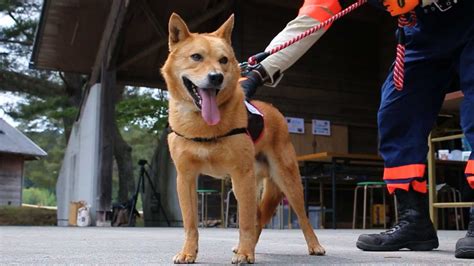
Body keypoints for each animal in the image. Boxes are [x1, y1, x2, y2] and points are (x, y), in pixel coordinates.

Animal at [161, 13, 324, 264]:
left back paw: (312, 245)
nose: (216, 77)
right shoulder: (186, 177)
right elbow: (190, 223)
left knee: (300, 217)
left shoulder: (241, 174)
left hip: (284, 181)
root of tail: (274, 111)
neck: (203, 126)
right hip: (245, 186)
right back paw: (246, 247)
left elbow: (245, 222)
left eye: (223, 60)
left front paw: (246, 253)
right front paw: (189, 252)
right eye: (196, 57)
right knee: (258, 218)